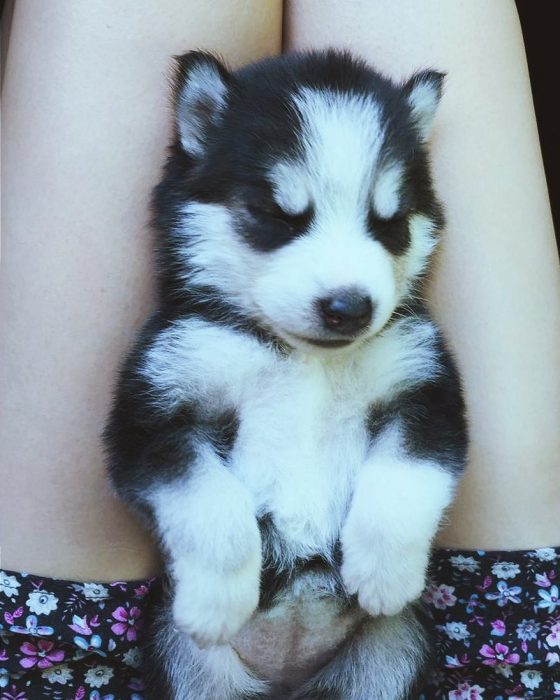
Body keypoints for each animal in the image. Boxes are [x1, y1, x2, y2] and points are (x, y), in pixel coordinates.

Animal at [105, 50, 468, 700]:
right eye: (276, 214)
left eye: (391, 223)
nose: (349, 306)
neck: (305, 359)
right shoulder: (151, 414)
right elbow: (212, 504)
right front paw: (218, 600)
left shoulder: (426, 392)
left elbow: (404, 481)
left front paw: (384, 572)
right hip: (181, 660)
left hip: (393, 652)